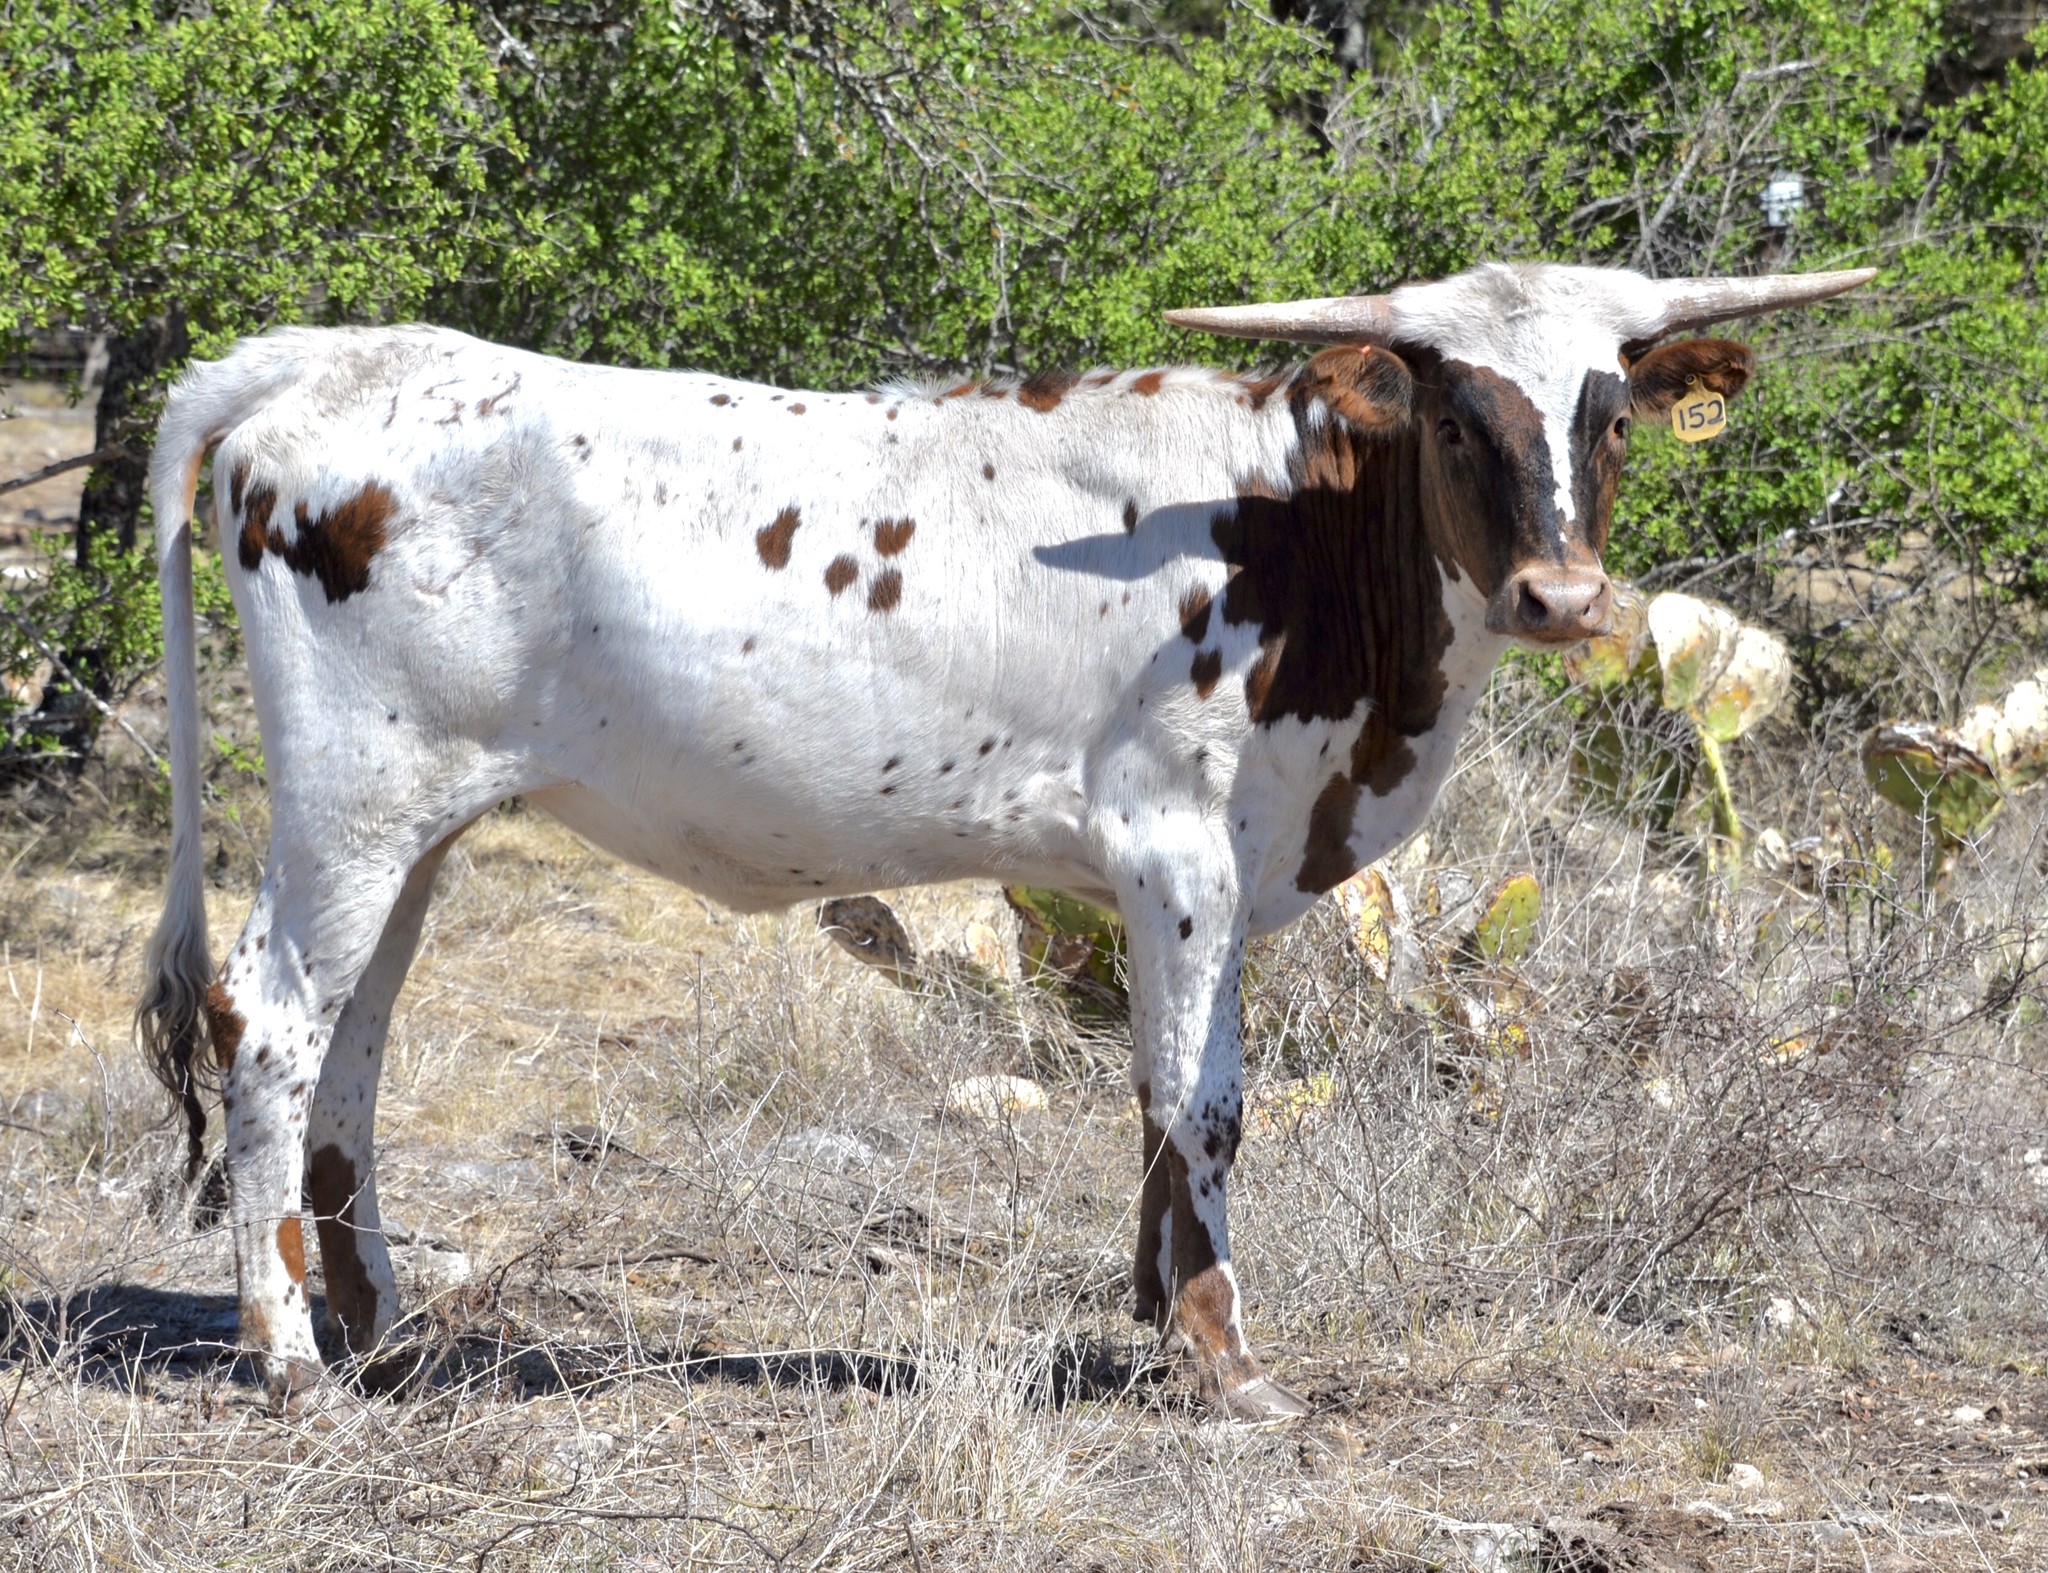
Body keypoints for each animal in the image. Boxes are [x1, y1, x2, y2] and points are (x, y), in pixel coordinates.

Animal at [137, 262, 1873, 1415]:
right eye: (1459, 414)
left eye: (1609, 412)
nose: (1563, 597)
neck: (1295, 535)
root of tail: (331, 365)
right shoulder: (1177, 846)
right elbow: (1205, 1100)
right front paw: (1225, 1358)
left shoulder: (1207, 871)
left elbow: (1164, 1099)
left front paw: (1155, 1319)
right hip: (351, 808)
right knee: (272, 1023)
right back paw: (287, 1356)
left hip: (414, 833)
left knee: (356, 1046)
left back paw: (382, 1330)